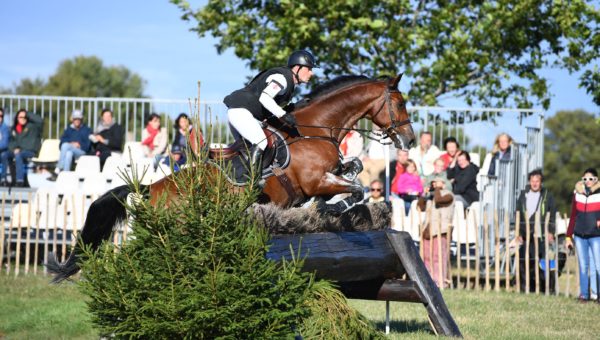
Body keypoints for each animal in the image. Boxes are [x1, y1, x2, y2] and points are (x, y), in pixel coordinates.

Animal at [47, 73, 414, 282]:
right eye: (399, 103)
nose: (409, 140)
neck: (314, 129)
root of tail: (151, 189)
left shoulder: (327, 175)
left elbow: (354, 169)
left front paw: (330, 205)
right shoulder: (315, 180)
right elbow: (357, 189)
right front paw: (334, 207)